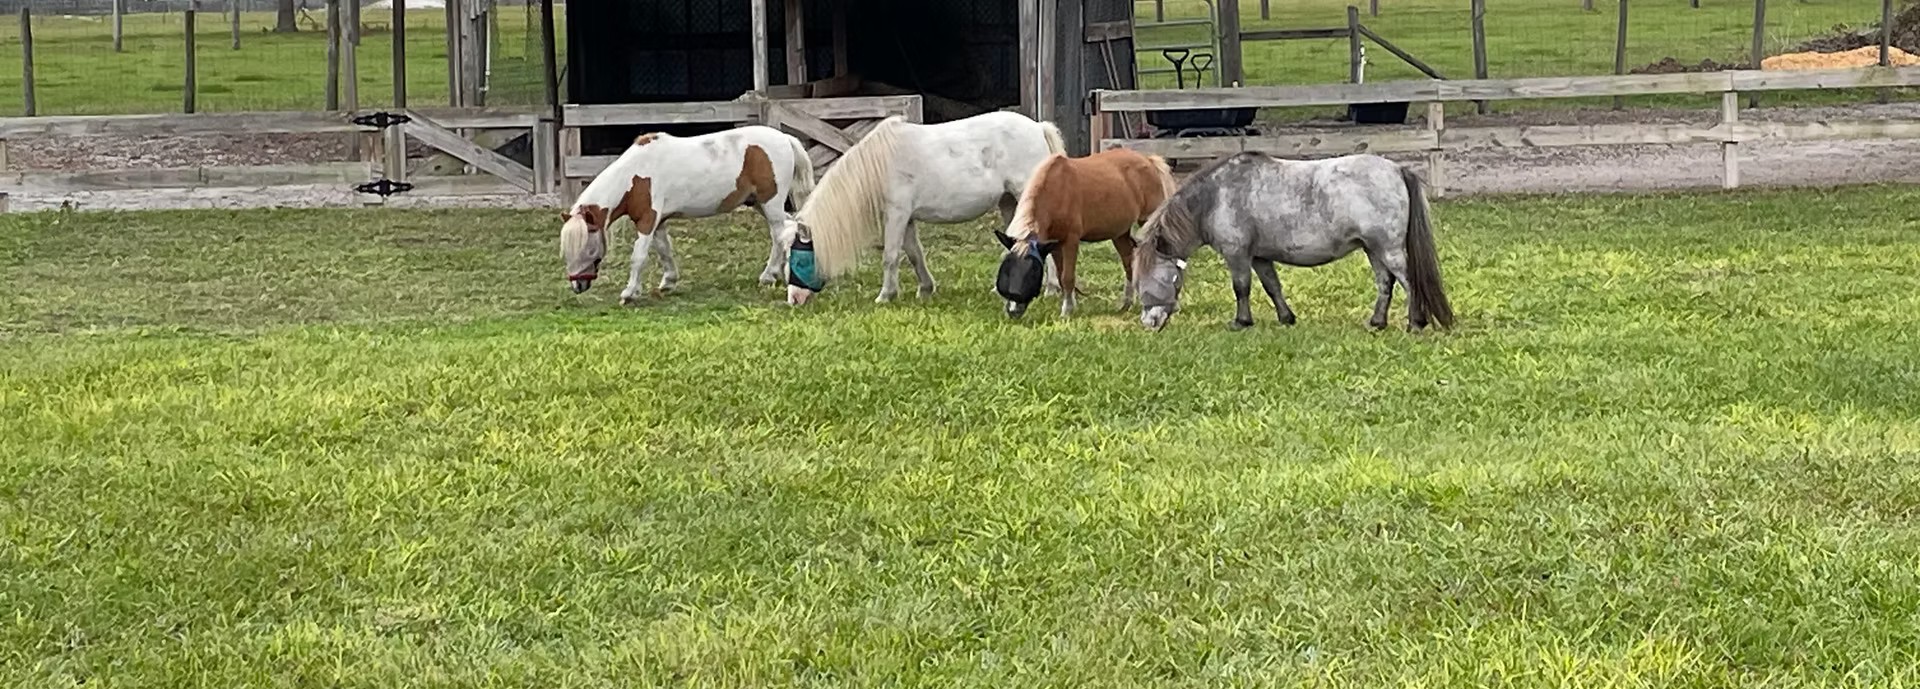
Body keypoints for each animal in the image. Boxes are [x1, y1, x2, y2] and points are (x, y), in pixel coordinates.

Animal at [559, 126, 815, 304]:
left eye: (588, 249)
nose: (577, 286)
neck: (635, 174)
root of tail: (785, 138)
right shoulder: (658, 222)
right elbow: (664, 251)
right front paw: (668, 282)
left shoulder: (647, 220)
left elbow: (638, 257)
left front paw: (629, 293)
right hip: (760, 204)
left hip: (771, 204)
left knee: (780, 234)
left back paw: (770, 275)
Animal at [783, 110, 1067, 305]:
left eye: (797, 258)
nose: (794, 299)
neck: (879, 164)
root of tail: (1038, 128)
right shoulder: (906, 217)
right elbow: (914, 253)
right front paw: (925, 289)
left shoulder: (897, 214)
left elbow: (890, 256)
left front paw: (884, 296)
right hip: (1009, 202)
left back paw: (1052, 288)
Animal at [991, 148, 1177, 319]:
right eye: (1007, 269)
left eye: (1032, 272)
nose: (1013, 311)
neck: (1055, 188)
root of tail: (1149, 160)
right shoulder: (1054, 245)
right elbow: (1060, 275)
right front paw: (1071, 306)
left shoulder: (1071, 240)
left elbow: (1067, 277)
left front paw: (1066, 312)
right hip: (1120, 233)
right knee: (1129, 262)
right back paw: (1127, 303)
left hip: (1148, 221)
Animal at [1132, 151, 1455, 332]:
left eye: (1154, 279)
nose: (1149, 323)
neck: (1216, 196)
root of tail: (1397, 170)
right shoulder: (1259, 257)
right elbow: (1272, 286)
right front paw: (1286, 317)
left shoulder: (1237, 254)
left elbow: (1241, 288)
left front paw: (1241, 322)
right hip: (1373, 249)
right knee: (1385, 284)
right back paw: (1377, 322)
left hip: (1388, 250)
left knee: (1409, 282)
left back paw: (1416, 323)